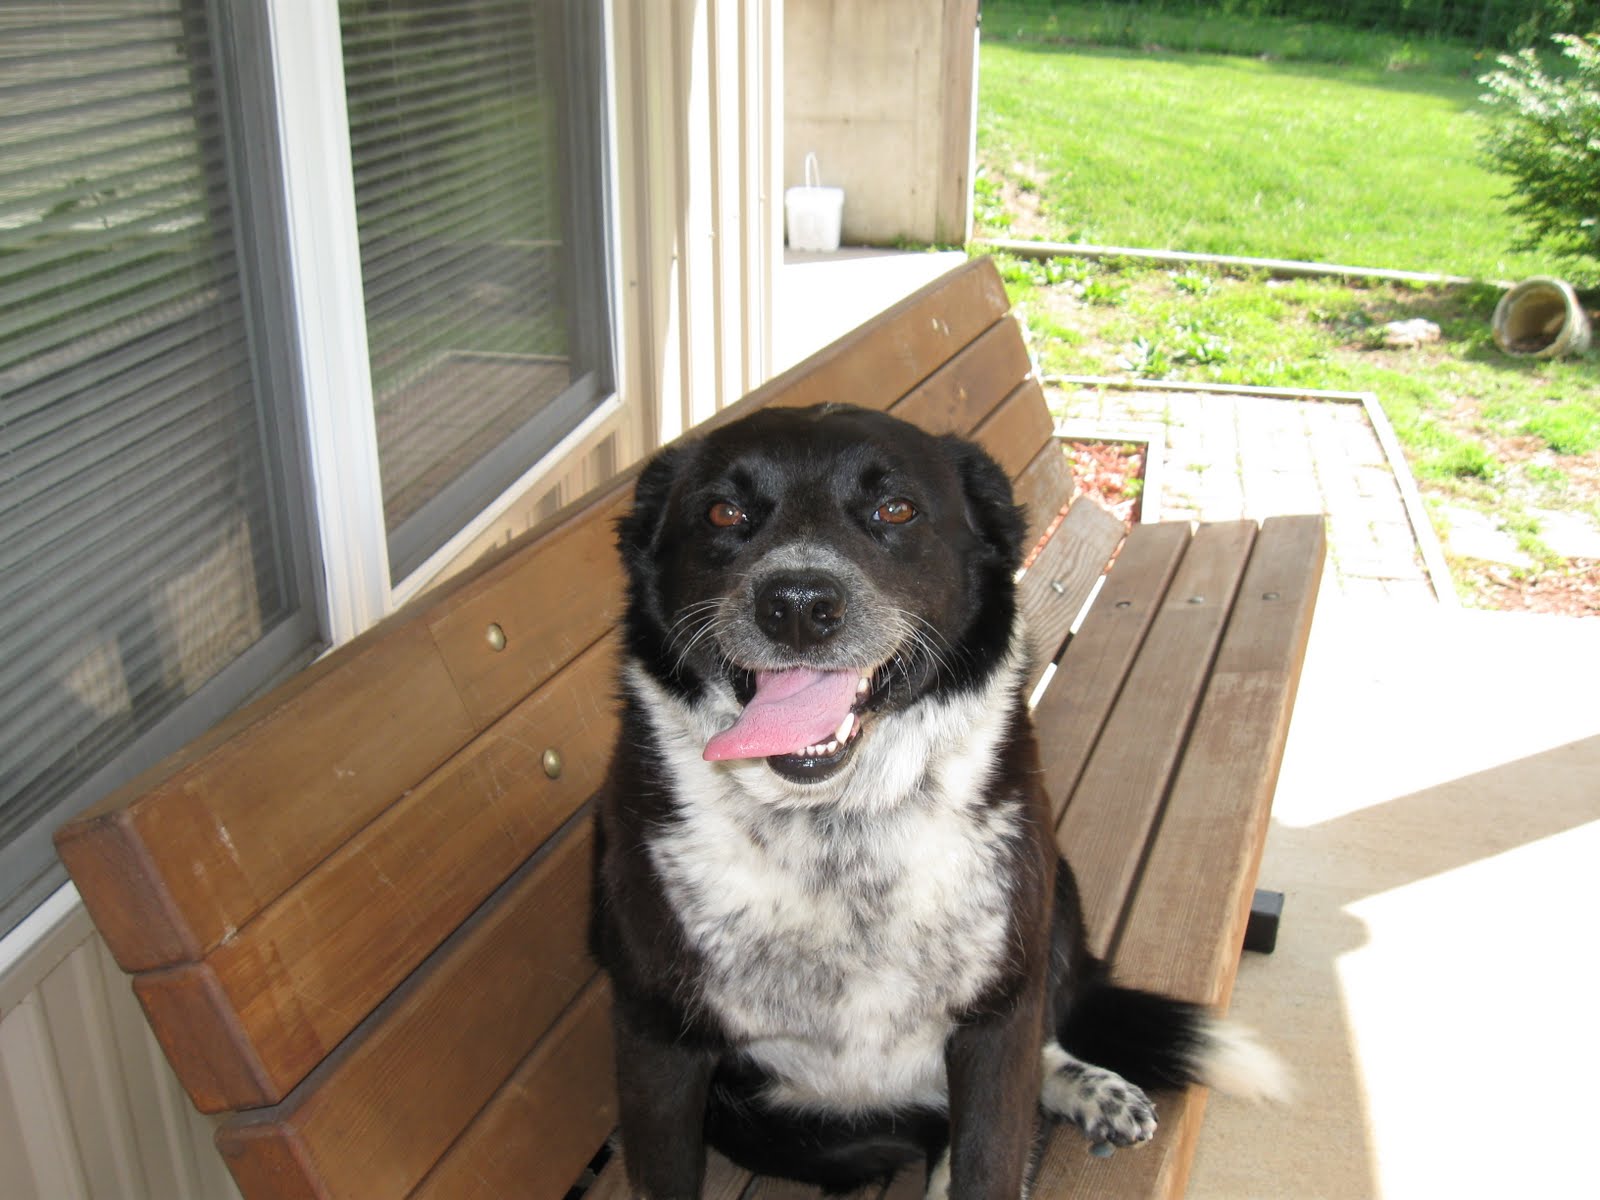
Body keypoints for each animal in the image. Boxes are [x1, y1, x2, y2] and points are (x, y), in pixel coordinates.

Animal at [590, 404, 1285, 1198]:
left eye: (896, 509)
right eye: (723, 512)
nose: (796, 605)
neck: (838, 827)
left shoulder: (994, 1021)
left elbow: (991, 1151)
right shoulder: (656, 1041)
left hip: (1054, 894)